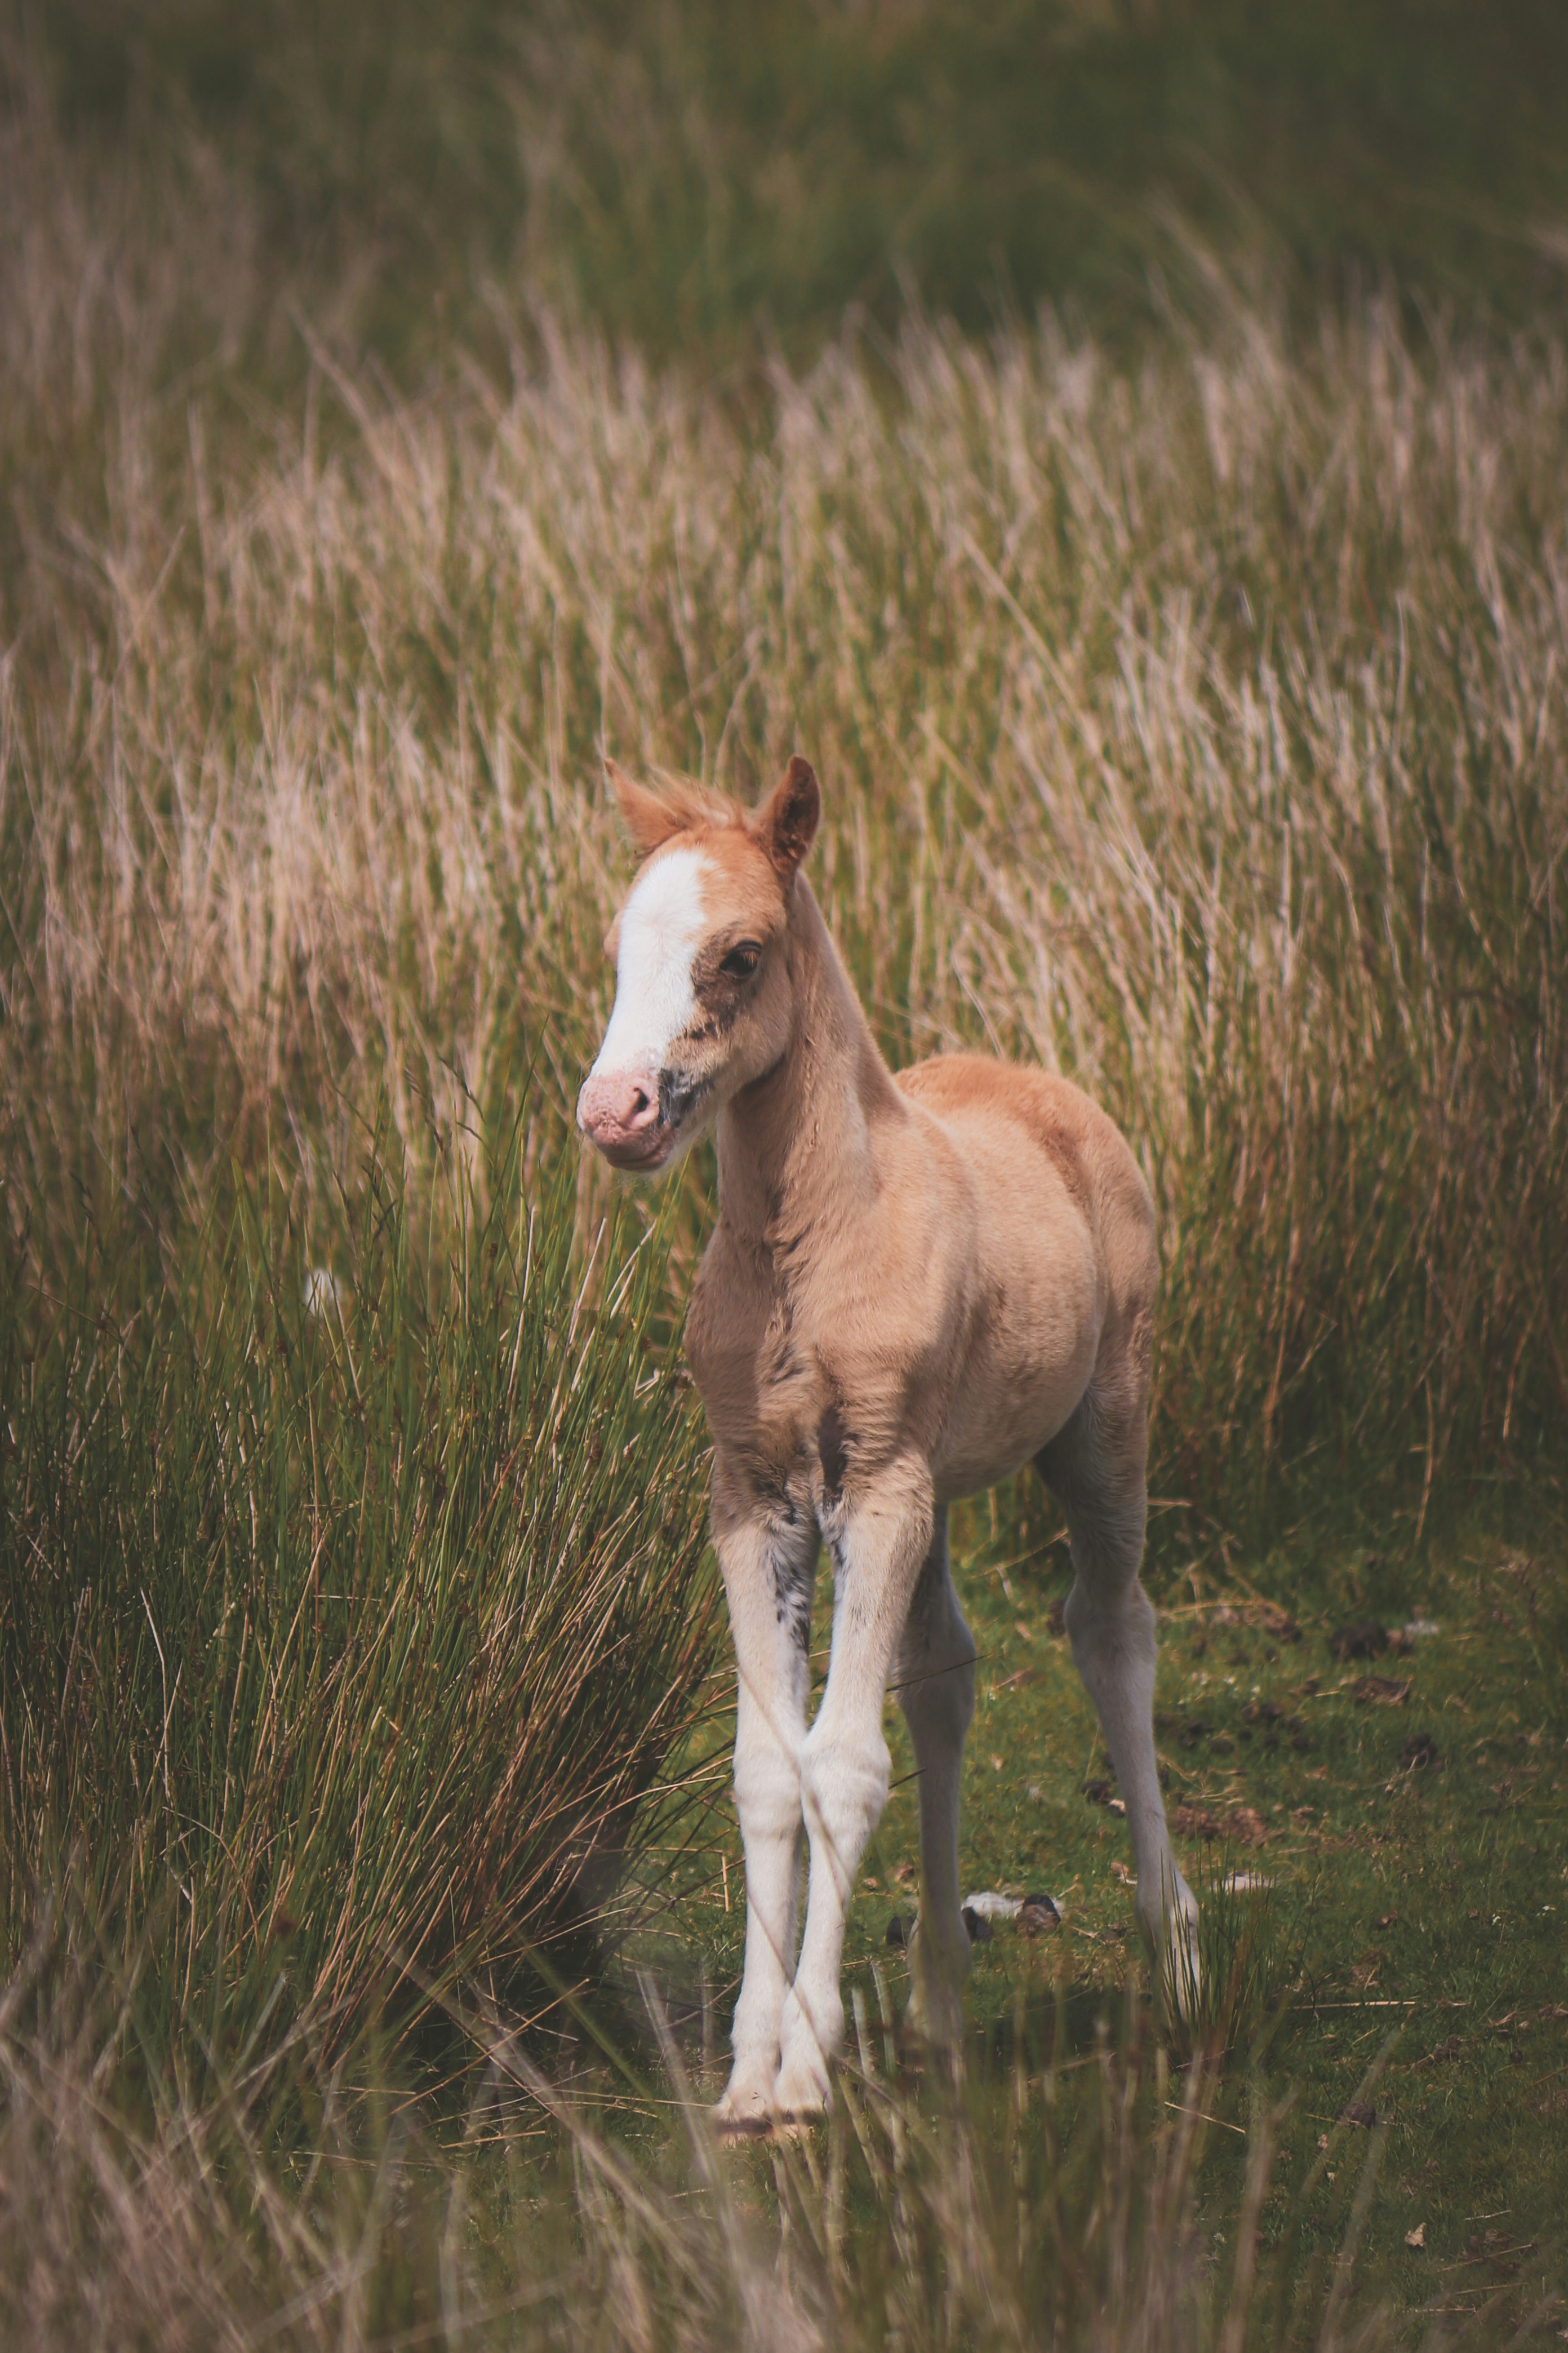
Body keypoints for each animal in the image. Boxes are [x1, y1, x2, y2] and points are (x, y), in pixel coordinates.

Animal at [577, 754, 1198, 2129]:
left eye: (739, 954)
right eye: (617, 948)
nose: (615, 1111)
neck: (809, 1245)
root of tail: (1045, 1084)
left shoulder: (877, 1487)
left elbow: (844, 1761)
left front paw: (806, 2069)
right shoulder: (754, 1497)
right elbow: (770, 1769)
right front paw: (748, 2074)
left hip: (1100, 1427)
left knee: (1110, 1627)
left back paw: (1174, 1947)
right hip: (943, 1483)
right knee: (948, 1673)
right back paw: (939, 2009)